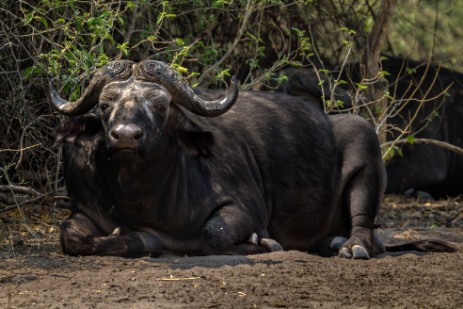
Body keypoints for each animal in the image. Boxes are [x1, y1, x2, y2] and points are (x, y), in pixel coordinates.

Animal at [50, 59, 388, 256]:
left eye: (160, 105)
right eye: (105, 105)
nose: (125, 136)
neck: (141, 196)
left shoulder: (247, 209)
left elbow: (215, 234)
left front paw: (261, 243)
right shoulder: (84, 208)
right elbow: (71, 236)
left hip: (364, 140)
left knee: (363, 224)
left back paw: (352, 247)